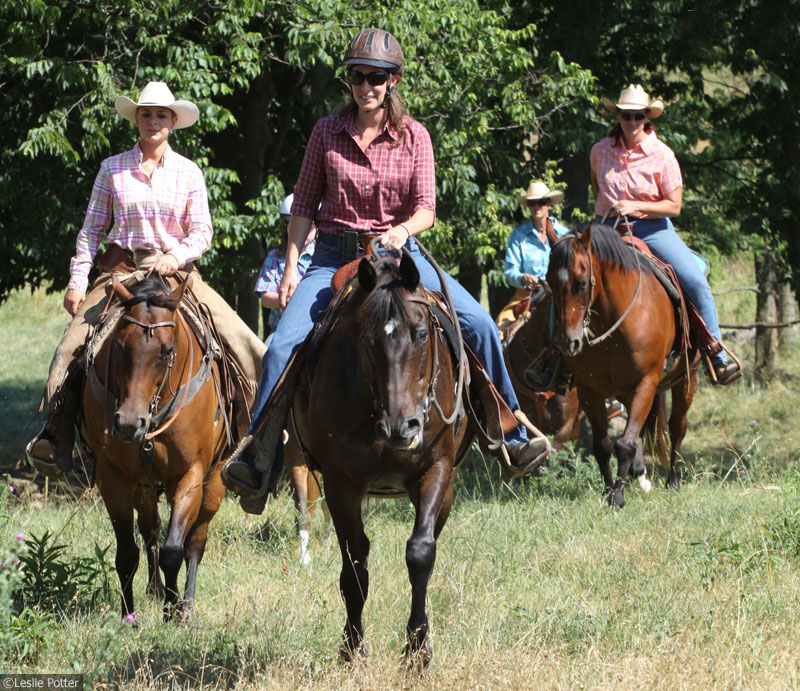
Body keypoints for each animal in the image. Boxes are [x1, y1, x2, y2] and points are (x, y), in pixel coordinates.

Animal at [83, 276, 234, 620]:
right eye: (119, 345)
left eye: (167, 351)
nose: (128, 423)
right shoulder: (113, 477)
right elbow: (127, 552)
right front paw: (129, 618)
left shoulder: (191, 476)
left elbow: (174, 550)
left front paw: (172, 612)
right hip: (144, 487)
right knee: (150, 529)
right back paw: (155, 590)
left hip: (215, 482)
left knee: (195, 542)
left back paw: (185, 604)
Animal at [290, 246, 472, 668]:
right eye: (367, 340)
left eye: (421, 333)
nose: (400, 428)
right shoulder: (340, 482)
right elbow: (355, 565)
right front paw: (352, 648)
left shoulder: (436, 469)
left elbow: (421, 554)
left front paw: (418, 651)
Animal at [544, 222, 700, 508]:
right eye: (549, 280)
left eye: (581, 283)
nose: (567, 342)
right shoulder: (589, 390)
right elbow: (603, 446)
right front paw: (609, 490)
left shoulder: (646, 383)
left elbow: (625, 443)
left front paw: (617, 496)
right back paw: (639, 474)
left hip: (687, 378)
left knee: (677, 427)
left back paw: (672, 481)